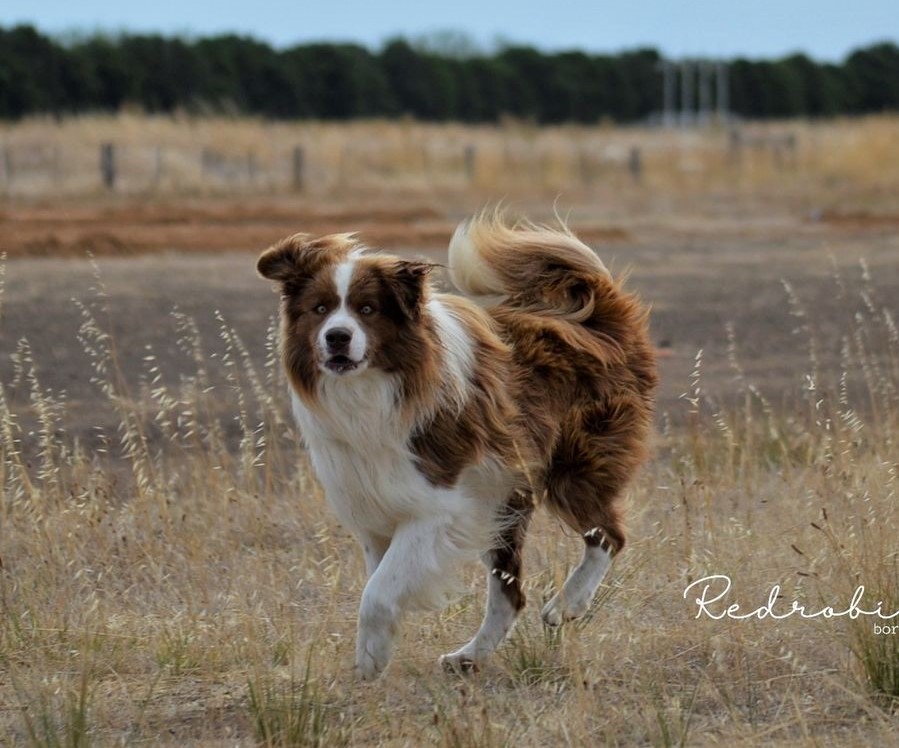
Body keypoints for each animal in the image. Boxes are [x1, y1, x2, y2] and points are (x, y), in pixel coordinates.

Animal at [256, 210, 656, 676]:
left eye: (367, 309)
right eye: (319, 309)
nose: (337, 337)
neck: (376, 389)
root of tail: (600, 315)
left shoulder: (437, 507)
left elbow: (377, 591)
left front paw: (370, 663)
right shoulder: (375, 512)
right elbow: (378, 580)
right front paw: (375, 655)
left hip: (571, 468)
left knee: (608, 536)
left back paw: (567, 604)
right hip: (504, 498)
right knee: (510, 595)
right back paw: (470, 656)